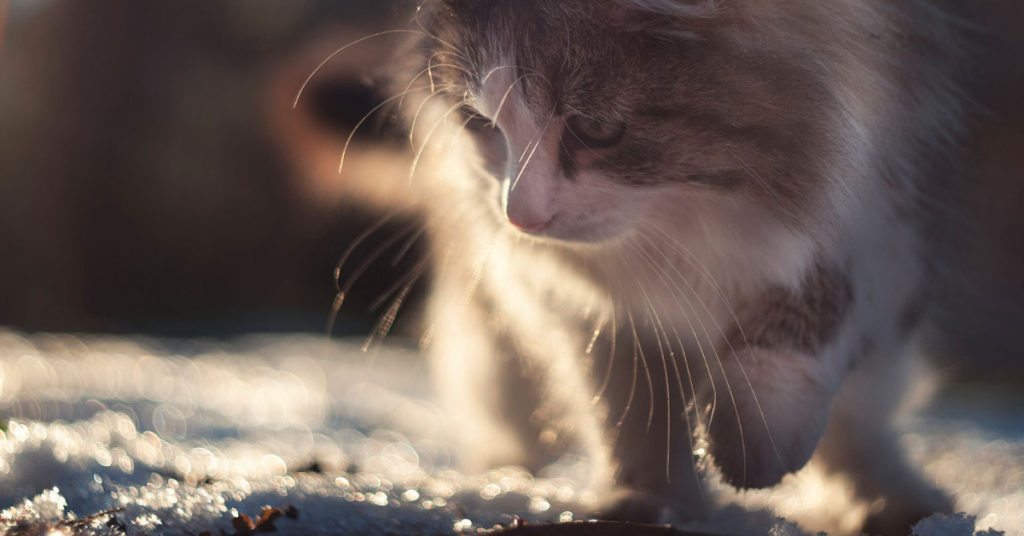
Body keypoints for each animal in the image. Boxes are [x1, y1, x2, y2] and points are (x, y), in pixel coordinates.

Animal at [374, 2, 958, 532]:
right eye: (480, 124)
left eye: (596, 129)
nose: (520, 217)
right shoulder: (592, 302)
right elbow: (629, 404)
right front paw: (651, 499)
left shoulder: (896, 181)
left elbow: (821, 295)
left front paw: (756, 432)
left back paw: (889, 497)